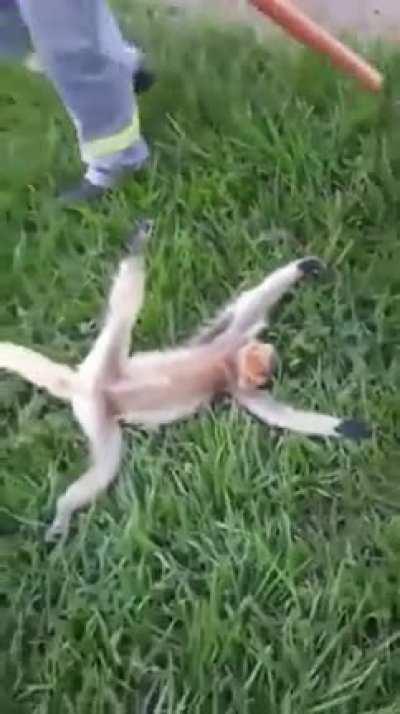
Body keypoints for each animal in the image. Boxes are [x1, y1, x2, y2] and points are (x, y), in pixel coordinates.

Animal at [0, 220, 371, 541]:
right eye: (264, 368)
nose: (269, 356)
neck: (230, 364)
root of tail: (85, 387)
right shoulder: (237, 368)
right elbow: (275, 407)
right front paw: (347, 427)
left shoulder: (233, 351)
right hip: (102, 385)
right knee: (108, 460)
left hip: (99, 381)